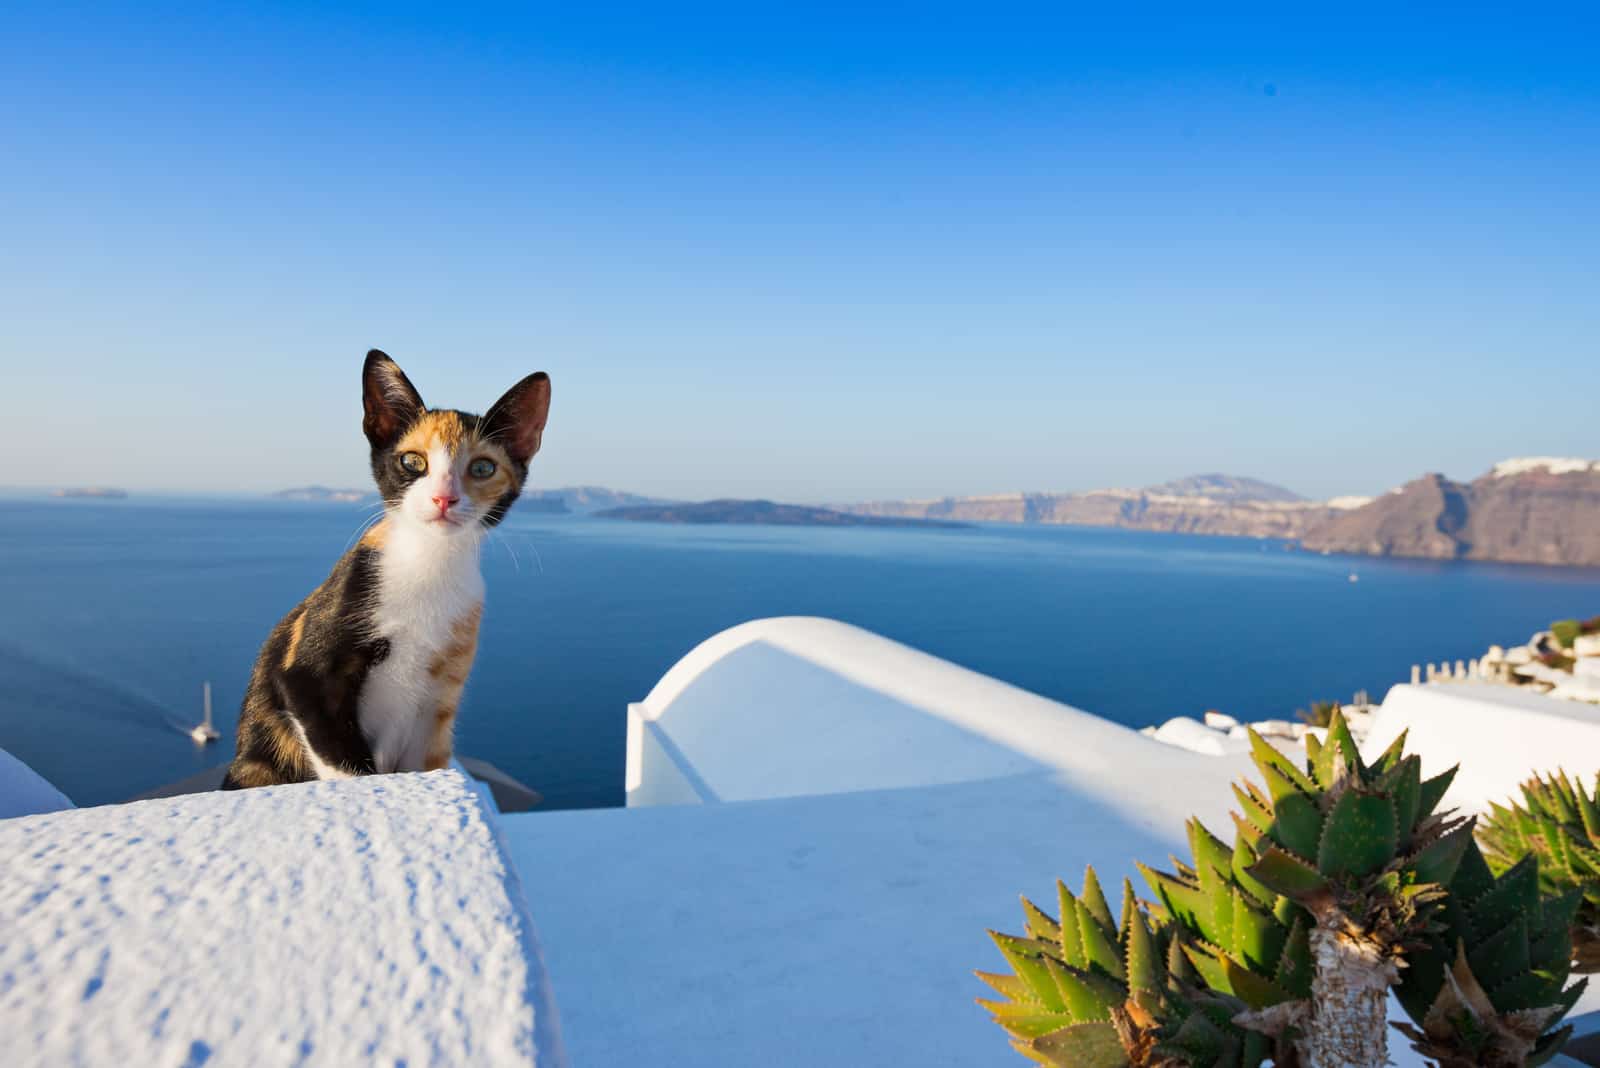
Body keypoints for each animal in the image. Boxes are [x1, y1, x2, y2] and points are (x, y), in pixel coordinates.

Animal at [220, 354, 550, 789]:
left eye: (482, 468)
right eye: (413, 461)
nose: (444, 498)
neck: (430, 562)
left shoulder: (437, 703)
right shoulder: (306, 677)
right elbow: (345, 766)